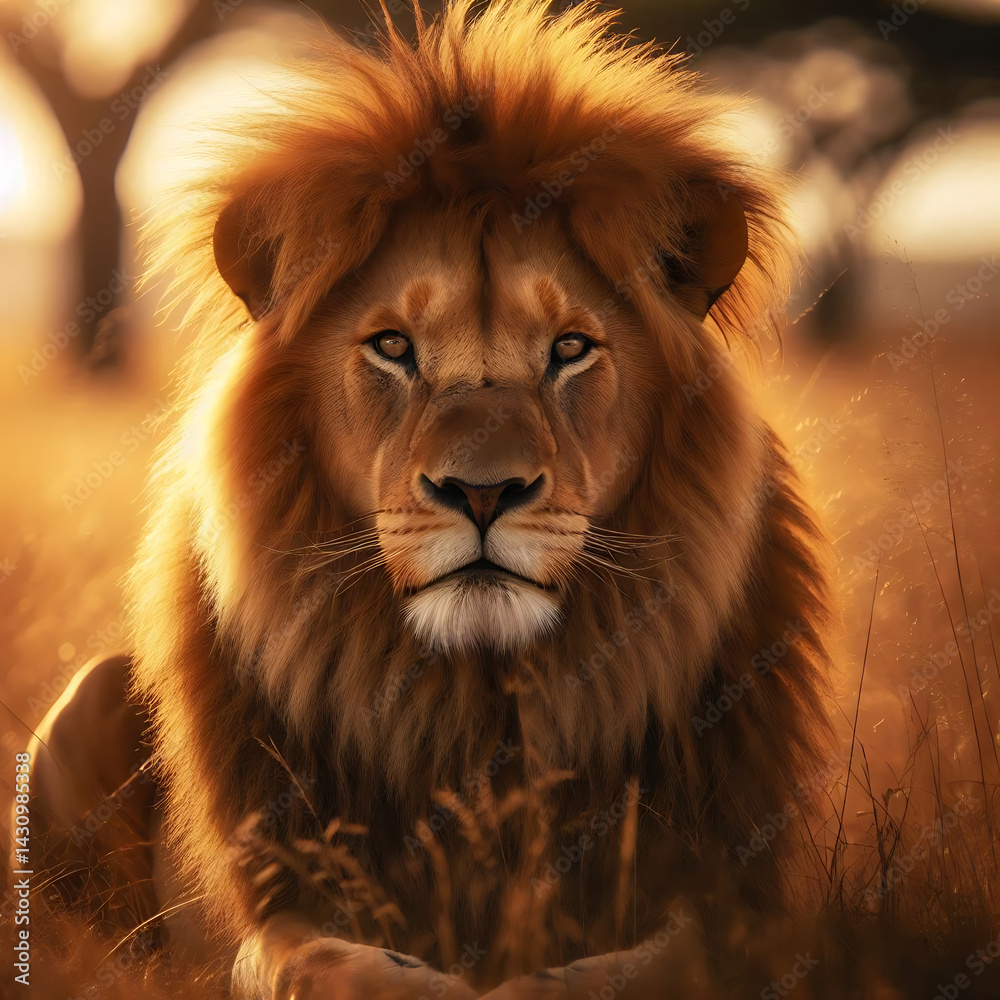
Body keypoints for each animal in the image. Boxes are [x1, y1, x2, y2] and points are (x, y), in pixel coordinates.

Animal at [21, 0, 832, 996]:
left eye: (570, 348)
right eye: (393, 347)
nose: (481, 492)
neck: (477, 709)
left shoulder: (732, 897)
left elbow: (643, 962)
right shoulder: (280, 890)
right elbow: (315, 954)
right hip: (85, 699)